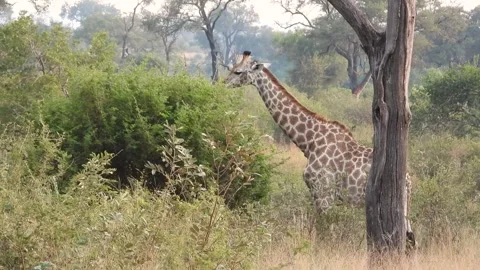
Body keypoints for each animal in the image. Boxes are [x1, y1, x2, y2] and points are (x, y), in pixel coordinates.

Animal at [223, 50, 414, 247]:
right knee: (410, 238)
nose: (223, 83)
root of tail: (409, 181)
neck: (309, 142)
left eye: (238, 72)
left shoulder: (324, 194)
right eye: (231, 68)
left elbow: (324, 234)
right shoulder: (323, 196)